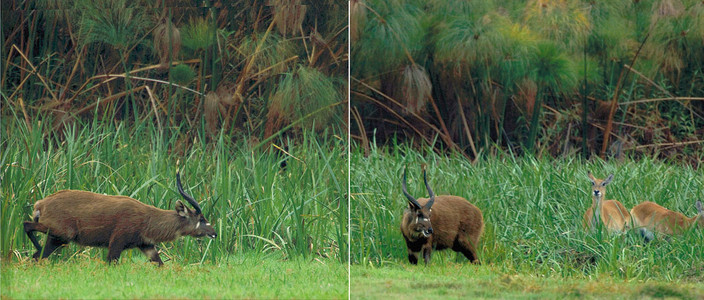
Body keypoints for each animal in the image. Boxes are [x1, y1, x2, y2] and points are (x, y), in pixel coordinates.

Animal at [22, 170, 214, 266]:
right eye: (201, 218)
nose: (214, 233)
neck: (147, 219)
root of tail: (40, 204)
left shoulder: (146, 245)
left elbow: (160, 263)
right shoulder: (116, 242)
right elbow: (111, 262)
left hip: (57, 239)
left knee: (37, 255)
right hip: (62, 234)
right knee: (27, 225)